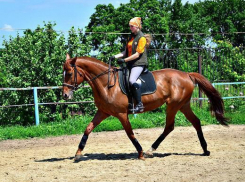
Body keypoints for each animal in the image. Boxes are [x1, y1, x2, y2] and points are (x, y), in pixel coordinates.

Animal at [62, 54, 228, 161]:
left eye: (69, 73)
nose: (64, 95)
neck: (106, 84)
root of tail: (187, 75)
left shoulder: (121, 114)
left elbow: (130, 133)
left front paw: (140, 153)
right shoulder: (103, 112)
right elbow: (88, 129)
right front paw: (78, 153)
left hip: (173, 105)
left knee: (169, 126)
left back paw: (149, 150)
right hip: (183, 105)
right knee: (195, 122)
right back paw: (205, 150)